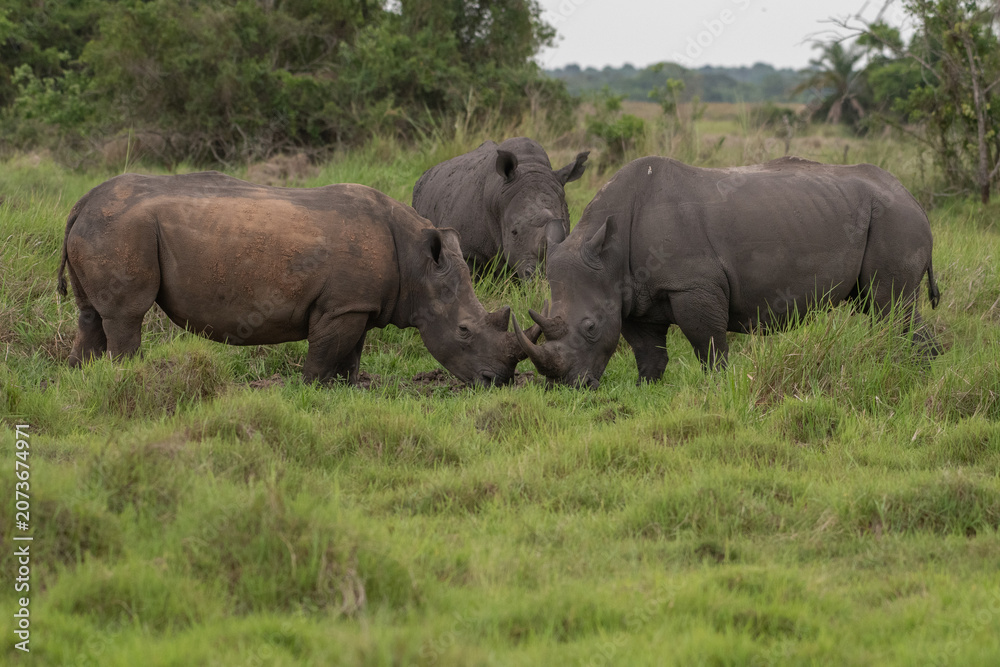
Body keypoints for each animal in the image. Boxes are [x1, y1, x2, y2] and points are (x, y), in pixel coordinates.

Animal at [58, 171, 539, 386]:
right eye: (464, 331)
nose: (498, 381)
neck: (418, 264)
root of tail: (81, 203)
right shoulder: (341, 306)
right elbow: (325, 353)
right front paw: (310, 390)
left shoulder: (357, 304)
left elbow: (352, 352)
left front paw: (348, 388)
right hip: (123, 228)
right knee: (126, 315)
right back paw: (126, 374)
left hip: (104, 226)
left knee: (90, 313)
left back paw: (81, 377)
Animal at [513, 156, 942, 388]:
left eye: (589, 327)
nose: (567, 388)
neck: (609, 249)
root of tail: (915, 201)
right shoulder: (630, 295)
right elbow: (647, 351)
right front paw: (643, 387)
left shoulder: (692, 285)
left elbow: (709, 345)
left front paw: (716, 387)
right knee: (881, 306)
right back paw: (921, 368)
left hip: (894, 220)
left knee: (890, 308)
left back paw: (908, 371)